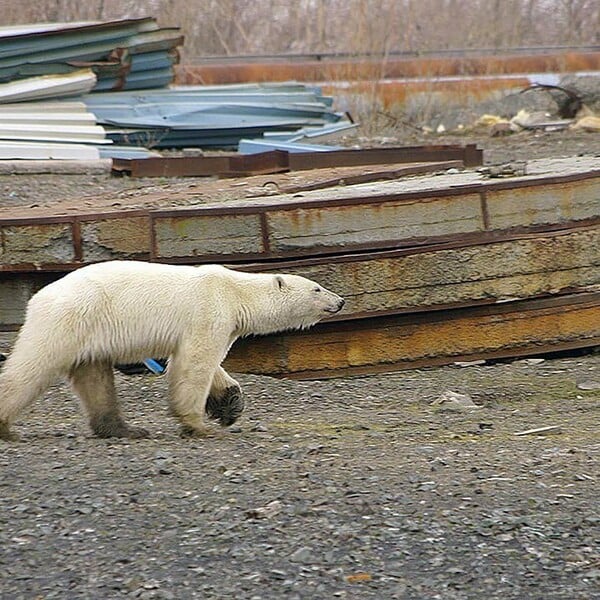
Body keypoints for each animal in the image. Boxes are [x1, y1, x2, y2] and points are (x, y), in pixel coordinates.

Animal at [0, 262, 344, 440]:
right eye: (316, 287)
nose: (340, 301)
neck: (236, 292)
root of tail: (38, 297)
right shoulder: (209, 310)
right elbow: (196, 362)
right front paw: (198, 425)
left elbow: (206, 364)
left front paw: (230, 405)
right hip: (70, 319)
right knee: (32, 365)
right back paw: (5, 426)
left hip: (89, 334)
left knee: (95, 377)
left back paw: (125, 429)